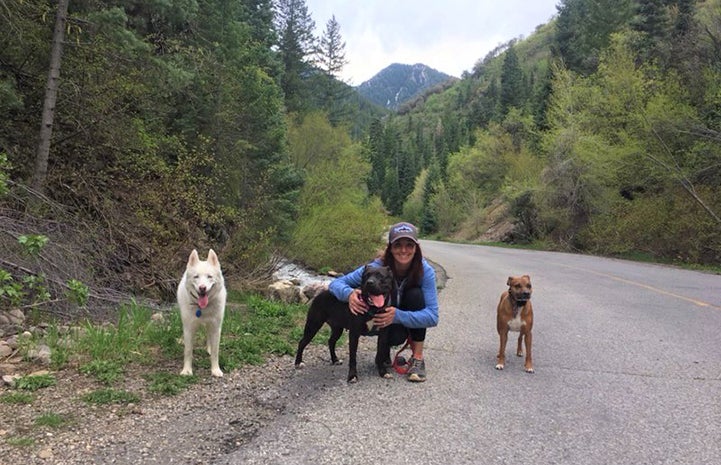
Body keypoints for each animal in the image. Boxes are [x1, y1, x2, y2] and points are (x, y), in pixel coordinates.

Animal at [176, 248, 225, 376]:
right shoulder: (189, 328)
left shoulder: (216, 327)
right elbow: (188, 351)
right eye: (196, 277)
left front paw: (215, 370)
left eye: (209, 276)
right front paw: (187, 370)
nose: (202, 288)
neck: (202, 308)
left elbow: (215, 352)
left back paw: (208, 349)